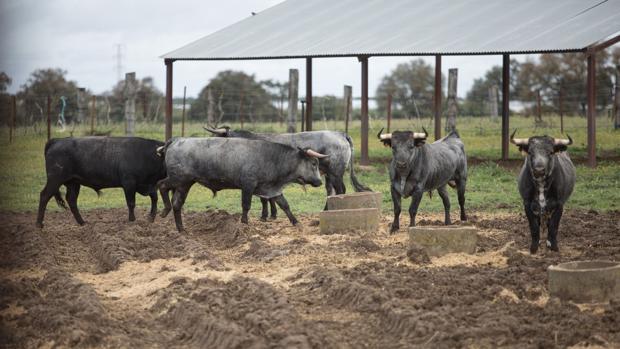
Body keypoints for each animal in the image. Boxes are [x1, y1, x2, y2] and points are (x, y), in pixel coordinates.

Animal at [36, 137, 166, 227]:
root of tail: (57, 140)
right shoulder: (129, 184)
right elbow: (131, 203)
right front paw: (132, 220)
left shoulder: (147, 185)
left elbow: (154, 198)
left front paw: (151, 218)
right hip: (55, 180)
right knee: (44, 195)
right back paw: (39, 224)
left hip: (74, 183)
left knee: (71, 200)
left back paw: (82, 222)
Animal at [157, 136, 326, 231]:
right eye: (313, 163)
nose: (319, 182)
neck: (271, 157)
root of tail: (176, 140)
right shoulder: (248, 185)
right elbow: (246, 205)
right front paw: (244, 223)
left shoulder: (272, 189)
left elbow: (284, 205)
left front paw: (296, 222)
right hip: (179, 180)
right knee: (162, 186)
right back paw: (165, 211)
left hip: (184, 184)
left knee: (177, 203)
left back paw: (180, 228)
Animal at [203, 125, 370, 218]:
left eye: (217, 137)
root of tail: (340, 133)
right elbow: (268, 197)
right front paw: (272, 214)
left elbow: (264, 198)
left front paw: (266, 216)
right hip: (329, 174)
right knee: (331, 192)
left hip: (336, 173)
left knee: (340, 190)